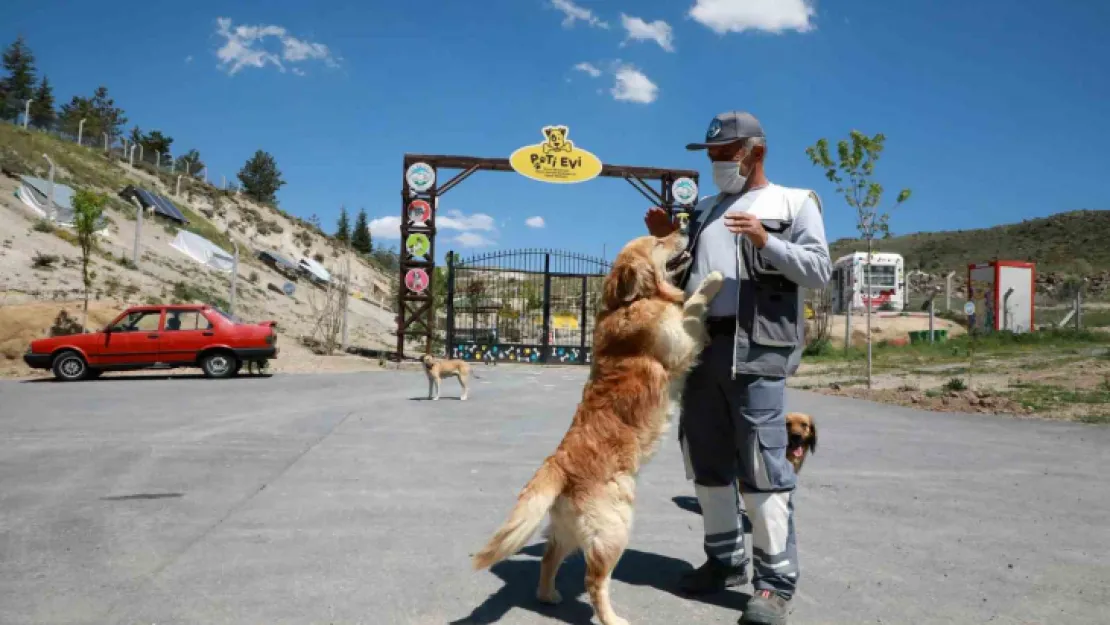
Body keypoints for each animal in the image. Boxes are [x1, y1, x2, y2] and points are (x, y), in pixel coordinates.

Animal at [470, 229, 719, 625]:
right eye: (658, 241)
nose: (682, 226)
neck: (626, 302)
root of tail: (557, 465)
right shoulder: (681, 340)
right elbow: (692, 305)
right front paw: (713, 280)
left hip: (570, 529)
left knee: (548, 557)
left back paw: (548, 595)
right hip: (614, 528)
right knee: (594, 580)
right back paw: (611, 618)